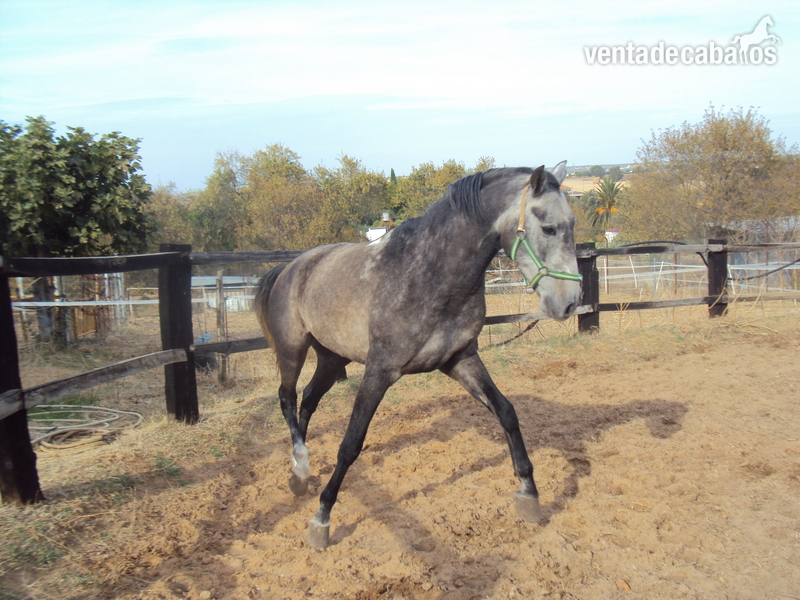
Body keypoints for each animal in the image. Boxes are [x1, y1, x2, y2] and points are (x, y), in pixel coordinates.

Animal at [254, 162, 582, 548]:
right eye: (548, 227)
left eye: (572, 223)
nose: (569, 302)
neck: (429, 275)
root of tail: (292, 267)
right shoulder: (379, 371)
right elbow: (350, 444)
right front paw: (321, 520)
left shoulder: (461, 360)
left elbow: (507, 412)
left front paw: (529, 495)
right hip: (292, 348)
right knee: (288, 399)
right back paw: (302, 467)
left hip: (333, 358)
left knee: (307, 401)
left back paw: (299, 474)